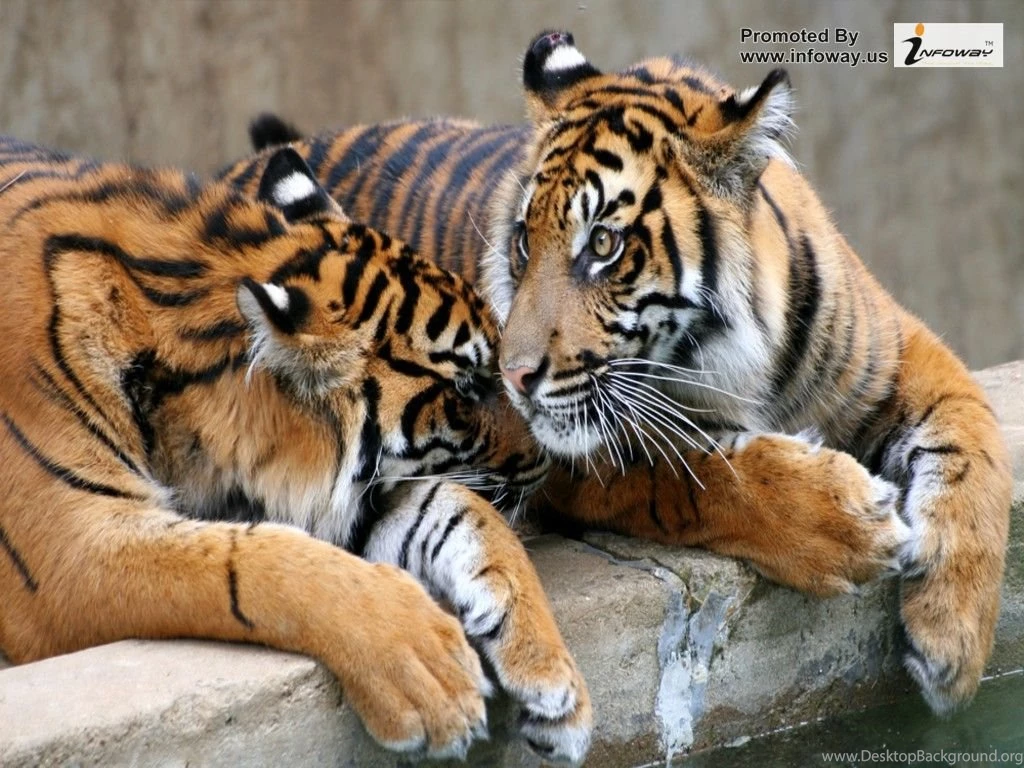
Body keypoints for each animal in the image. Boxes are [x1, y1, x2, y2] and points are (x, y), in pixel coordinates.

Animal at [0, 137, 592, 763]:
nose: (550, 456)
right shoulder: (69, 547)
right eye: (464, 390)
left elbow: (463, 514)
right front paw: (430, 674)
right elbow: (260, 560)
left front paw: (553, 681)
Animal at [221, 30, 1013, 716]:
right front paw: (847, 522)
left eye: (603, 244)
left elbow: (977, 443)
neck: (730, 362)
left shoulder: (901, 353)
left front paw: (952, 641)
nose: (511, 376)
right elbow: (702, 474)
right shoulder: (565, 456)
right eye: (521, 240)